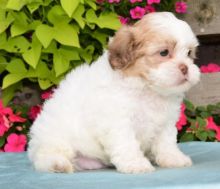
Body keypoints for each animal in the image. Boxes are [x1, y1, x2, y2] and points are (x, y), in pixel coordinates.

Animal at [27, 12, 199, 174]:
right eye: (164, 52)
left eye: (189, 53)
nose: (185, 68)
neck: (147, 88)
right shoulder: (118, 121)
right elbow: (127, 144)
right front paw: (136, 164)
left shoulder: (166, 122)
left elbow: (166, 143)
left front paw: (173, 158)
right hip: (54, 138)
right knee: (46, 156)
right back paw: (58, 164)